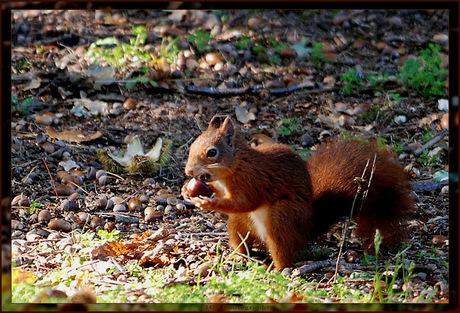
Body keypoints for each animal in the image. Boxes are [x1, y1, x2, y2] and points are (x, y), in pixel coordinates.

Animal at [181, 114, 416, 268]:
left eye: (212, 152)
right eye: (192, 146)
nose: (188, 171)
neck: (234, 167)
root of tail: (307, 229)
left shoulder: (254, 180)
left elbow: (245, 202)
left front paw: (208, 202)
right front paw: (186, 191)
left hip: (283, 216)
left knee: (282, 251)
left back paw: (277, 270)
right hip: (239, 223)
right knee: (242, 241)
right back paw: (238, 258)